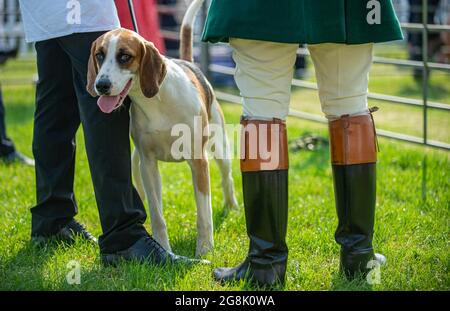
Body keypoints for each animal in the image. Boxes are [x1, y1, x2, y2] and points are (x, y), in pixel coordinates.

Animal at [85, 0, 237, 258]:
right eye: (99, 55)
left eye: (124, 56)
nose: (101, 85)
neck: (155, 101)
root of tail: (190, 63)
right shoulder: (148, 164)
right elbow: (157, 214)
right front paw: (163, 249)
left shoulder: (199, 162)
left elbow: (203, 214)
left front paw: (204, 250)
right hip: (137, 165)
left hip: (220, 148)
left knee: (227, 178)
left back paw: (232, 207)